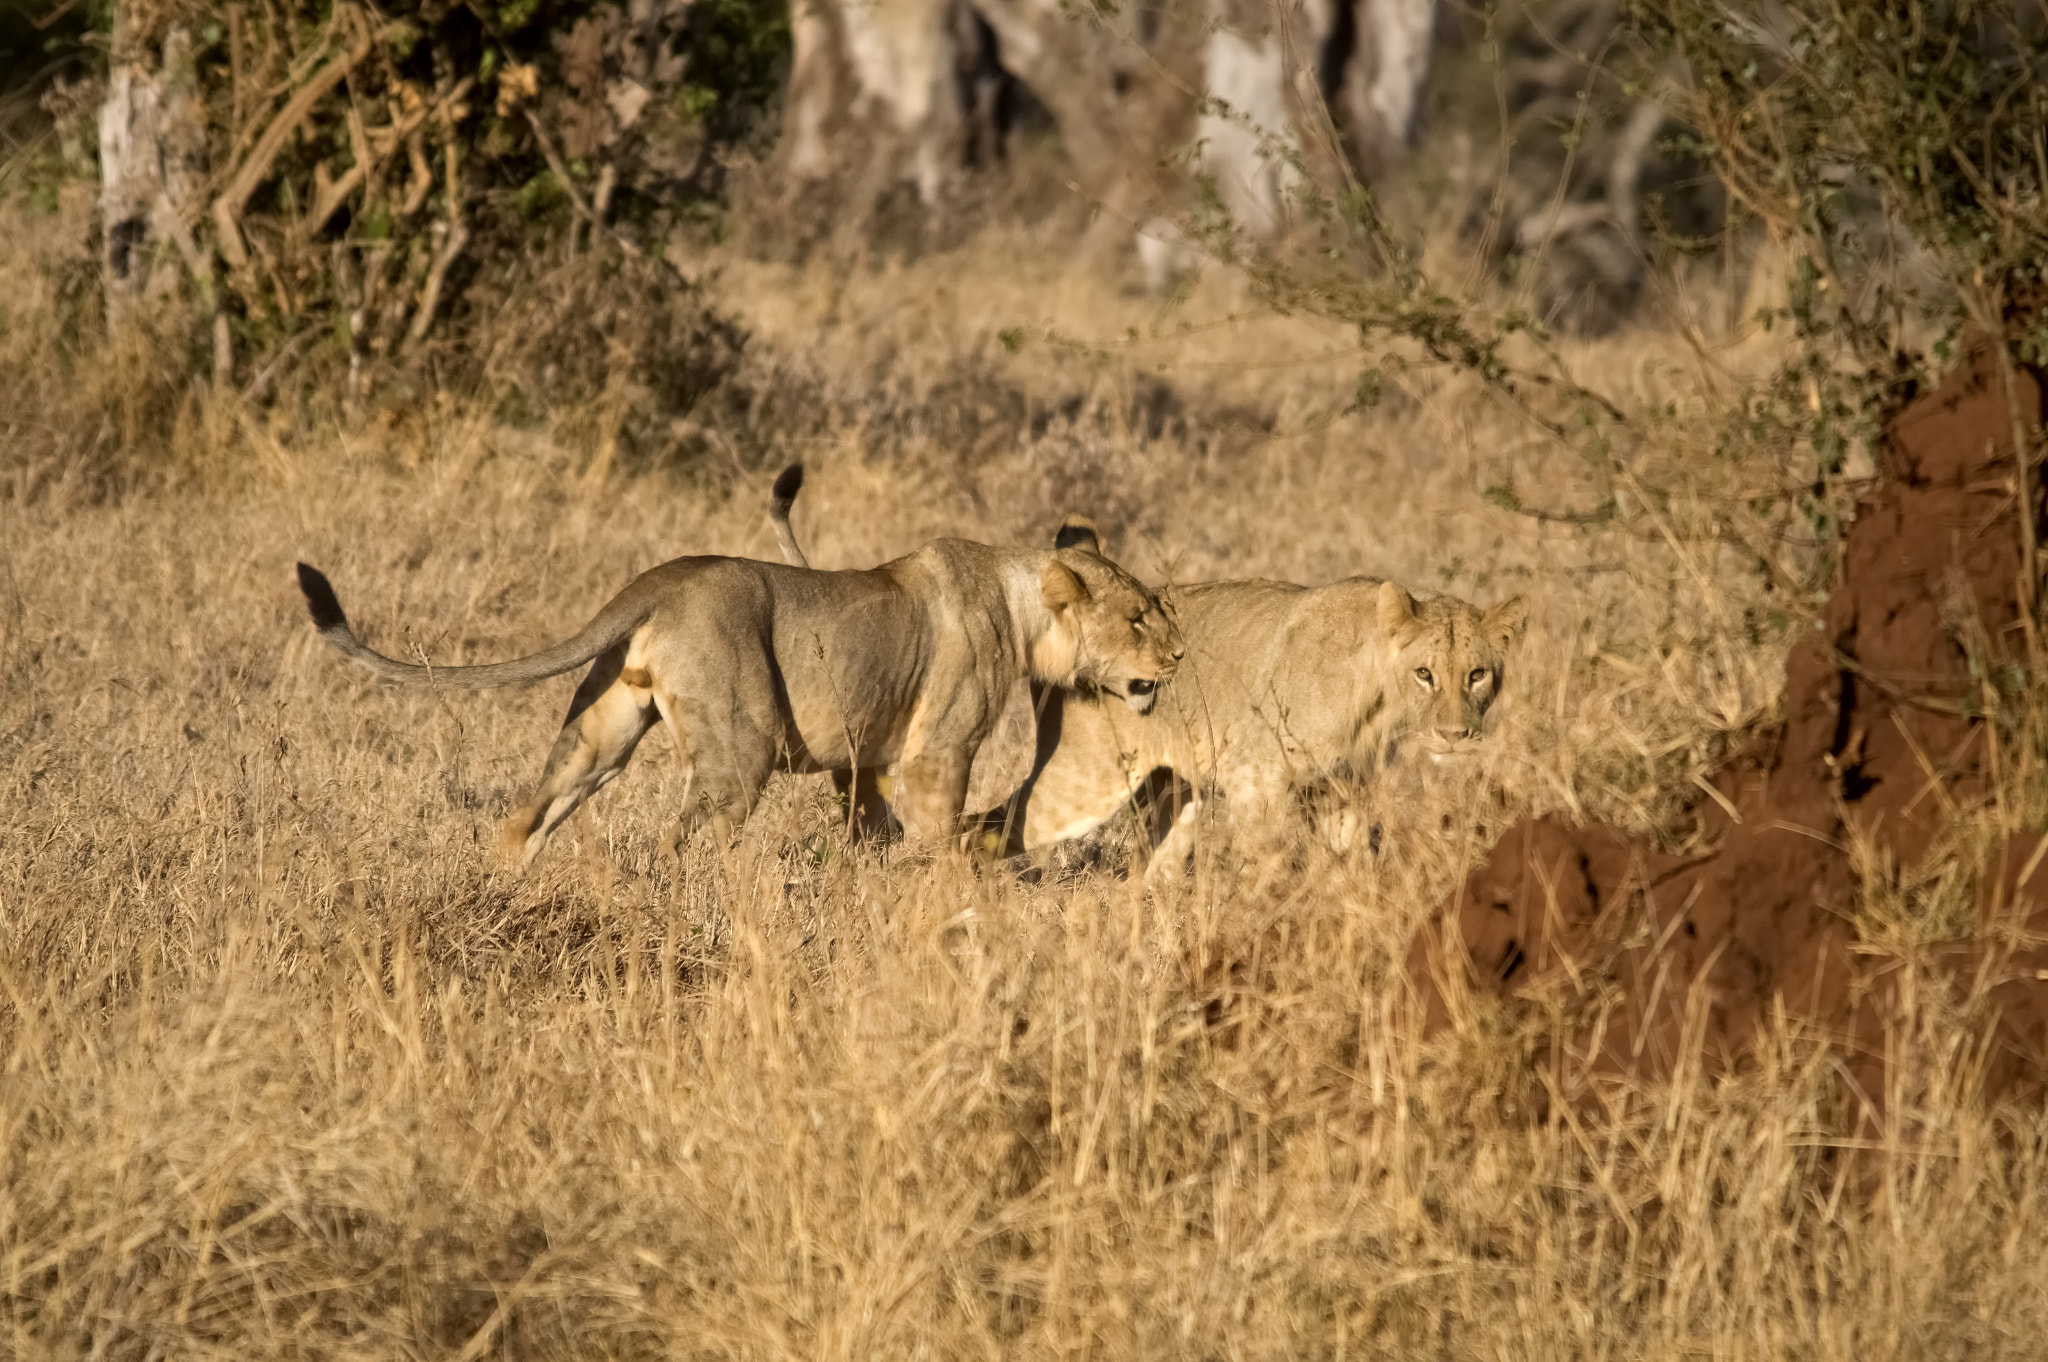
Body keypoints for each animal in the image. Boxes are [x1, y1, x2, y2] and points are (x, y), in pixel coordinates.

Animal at [294, 473, 1179, 864]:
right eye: (1138, 616)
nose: (1176, 656)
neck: (1022, 604)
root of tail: (665, 577)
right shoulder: (937, 754)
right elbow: (939, 836)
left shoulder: (863, 760)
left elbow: (872, 829)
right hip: (738, 742)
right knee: (682, 844)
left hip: (602, 728)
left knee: (526, 817)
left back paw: (500, 891)